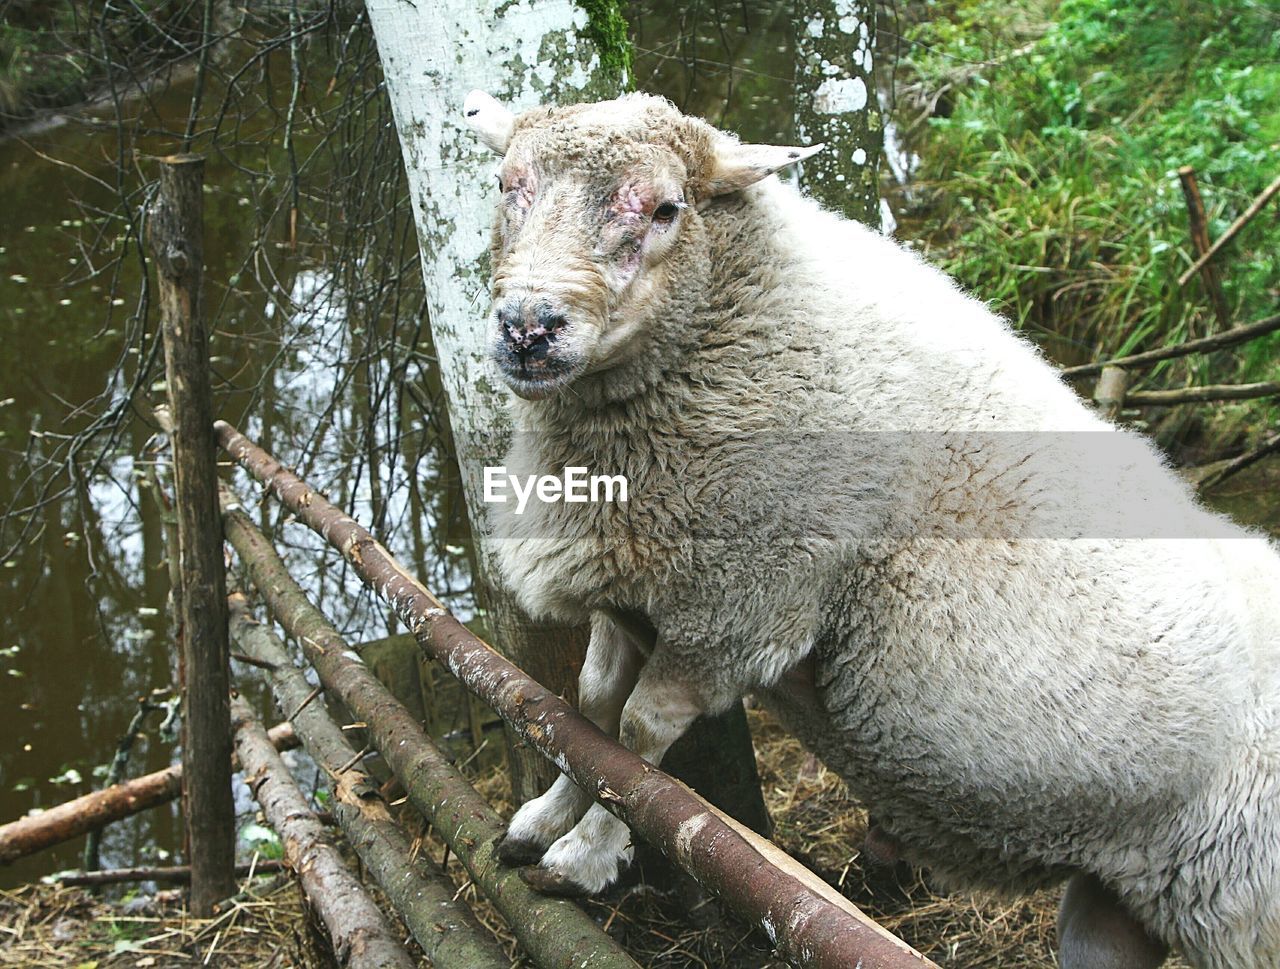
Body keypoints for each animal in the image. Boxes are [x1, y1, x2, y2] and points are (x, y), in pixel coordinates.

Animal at [460, 90, 1280, 967]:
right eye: (507, 184)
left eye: (666, 209)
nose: (528, 328)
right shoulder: (639, 581)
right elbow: (588, 710)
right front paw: (541, 819)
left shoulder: (741, 604)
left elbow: (641, 741)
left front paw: (584, 854)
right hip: (1114, 906)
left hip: (1244, 908)